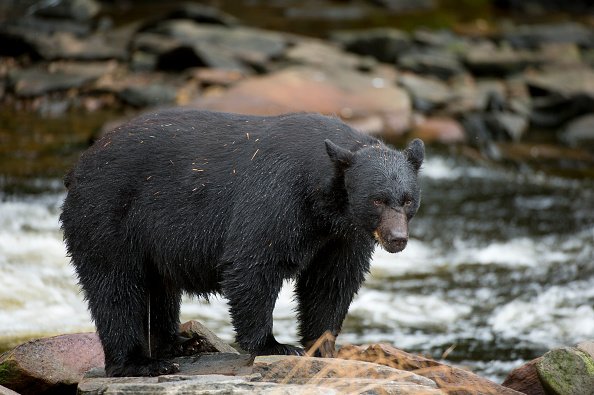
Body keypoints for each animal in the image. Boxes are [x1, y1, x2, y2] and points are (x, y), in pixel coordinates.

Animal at [60, 108, 424, 378]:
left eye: (407, 199)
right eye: (377, 200)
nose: (397, 239)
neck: (323, 201)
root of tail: (78, 166)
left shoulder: (341, 237)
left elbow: (331, 283)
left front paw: (323, 347)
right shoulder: (277, 196)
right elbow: (253, 264)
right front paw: (274, 345)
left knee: (160, 288)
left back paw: (178, 344)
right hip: (107, 215)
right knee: (115, 286)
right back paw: (139, 363)